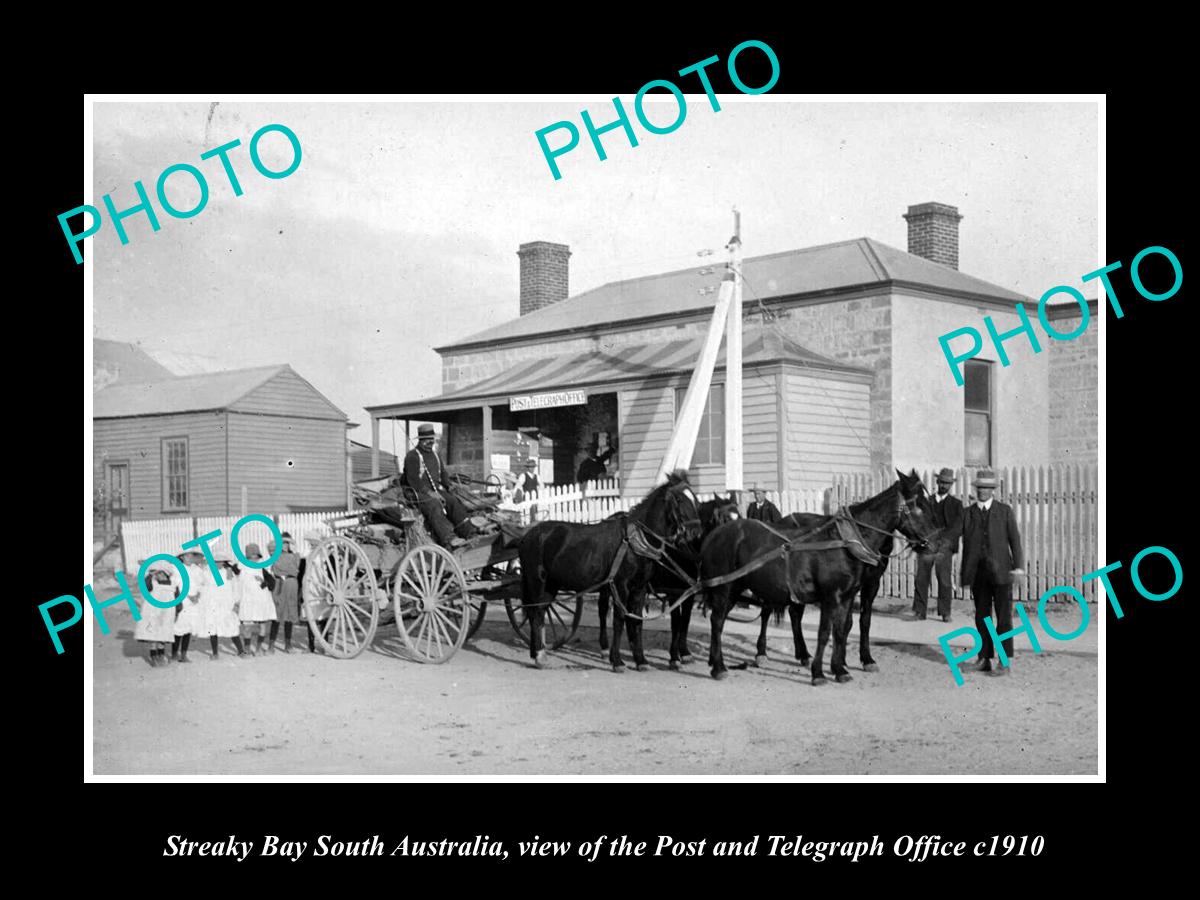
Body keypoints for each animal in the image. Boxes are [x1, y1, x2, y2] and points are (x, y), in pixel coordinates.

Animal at [518, 475, 700, 672]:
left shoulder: (640, 587)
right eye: (679, 499)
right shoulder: (621, 586)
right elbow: (619, 619)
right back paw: (539, 655)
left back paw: (537, 652)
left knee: (540, 612)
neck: (635, 542)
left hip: (552, 585)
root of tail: (528, 534)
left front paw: (641, 660)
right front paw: (617, 661)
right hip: (537, 581)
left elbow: (637, 621)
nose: (695, 532)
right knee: (535, 613)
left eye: (695, 499)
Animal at [700, 472, 936, 681]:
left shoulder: (849, 595)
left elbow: (843, 628)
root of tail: (715, 534)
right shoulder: (830, 596)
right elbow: (824, 632)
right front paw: (819, 673)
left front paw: (840, 669)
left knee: (725, 620)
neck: (845, 542)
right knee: (718, 621)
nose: (933, 542)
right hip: (725, 588)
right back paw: (722, 666)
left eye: (928, 502)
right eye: (919, 506)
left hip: (736, 589)